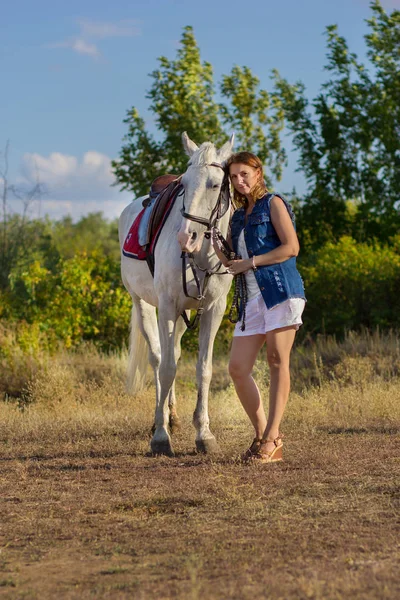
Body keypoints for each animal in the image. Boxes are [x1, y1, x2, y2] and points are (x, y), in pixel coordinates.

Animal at [119, 134, 234, 454]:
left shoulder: (213, 309)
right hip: (144, 304)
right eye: (184, 184)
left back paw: (172, 415)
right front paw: (160, 437)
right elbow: (167, 367)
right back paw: (161, 420)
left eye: (215, 184)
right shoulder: (168, 306)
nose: (186, 237)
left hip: (186, 311)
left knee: (175, 352)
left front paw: (204, 434)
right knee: (159, 358)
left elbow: (203, 369)